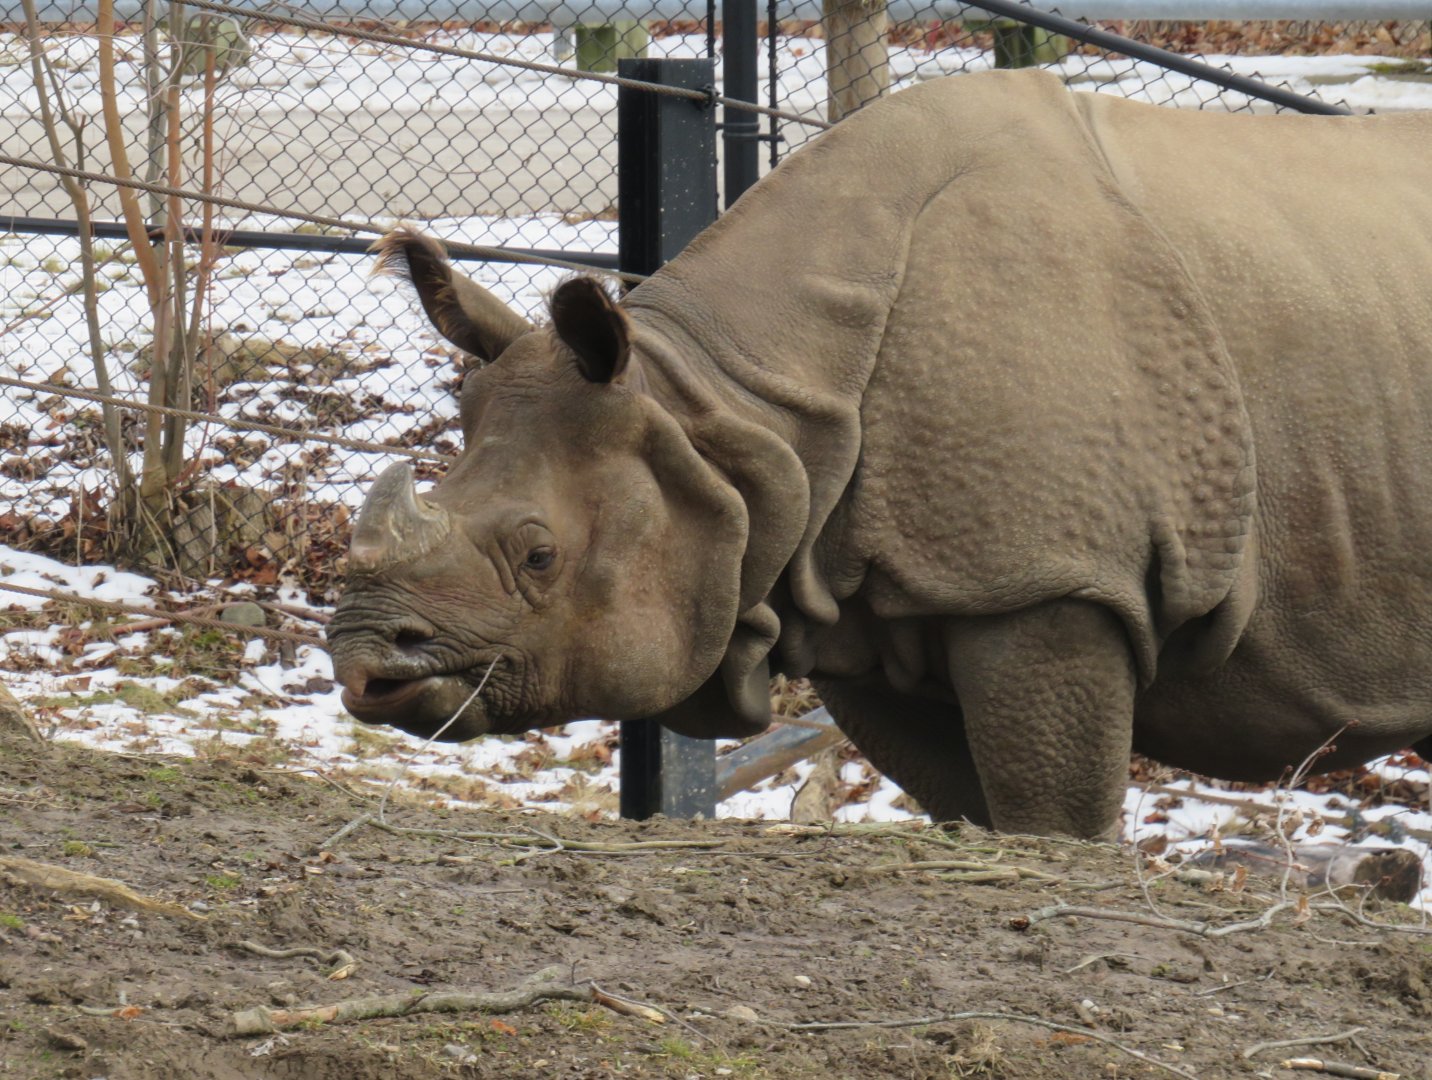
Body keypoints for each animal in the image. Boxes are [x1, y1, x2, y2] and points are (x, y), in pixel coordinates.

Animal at [326, 68, 1432, 838]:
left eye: (540, 555)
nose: (361, 663)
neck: (722, 406)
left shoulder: (1052, 579)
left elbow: (1054, 821)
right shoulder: (864, 612)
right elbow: (970, 808)